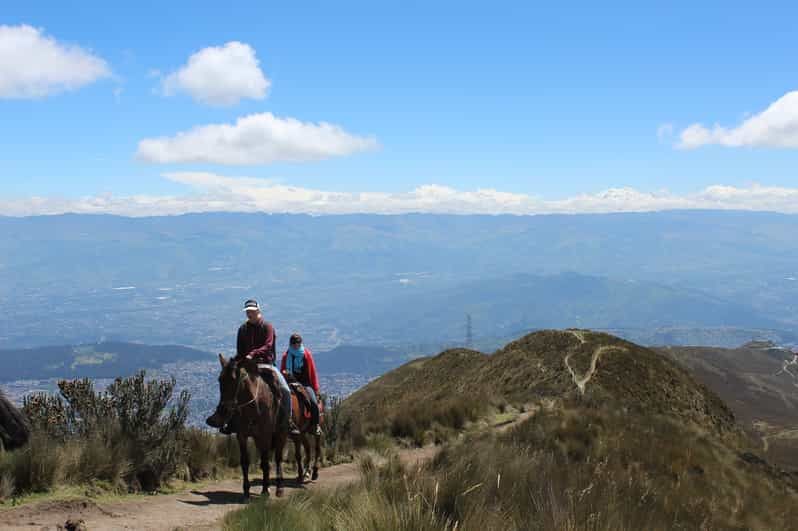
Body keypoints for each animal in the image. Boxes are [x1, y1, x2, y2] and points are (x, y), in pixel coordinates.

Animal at [206, 356, 288, 500]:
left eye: (234, 379)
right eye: (220, 379)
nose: (224, 410)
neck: (253, 407)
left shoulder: (265, 435)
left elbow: (266, 462)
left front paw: (265, 490)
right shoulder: (242, 435)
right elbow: (245, 462)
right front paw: (246, 491)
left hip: (280, 434)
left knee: (278, 459)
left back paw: (279, 488)